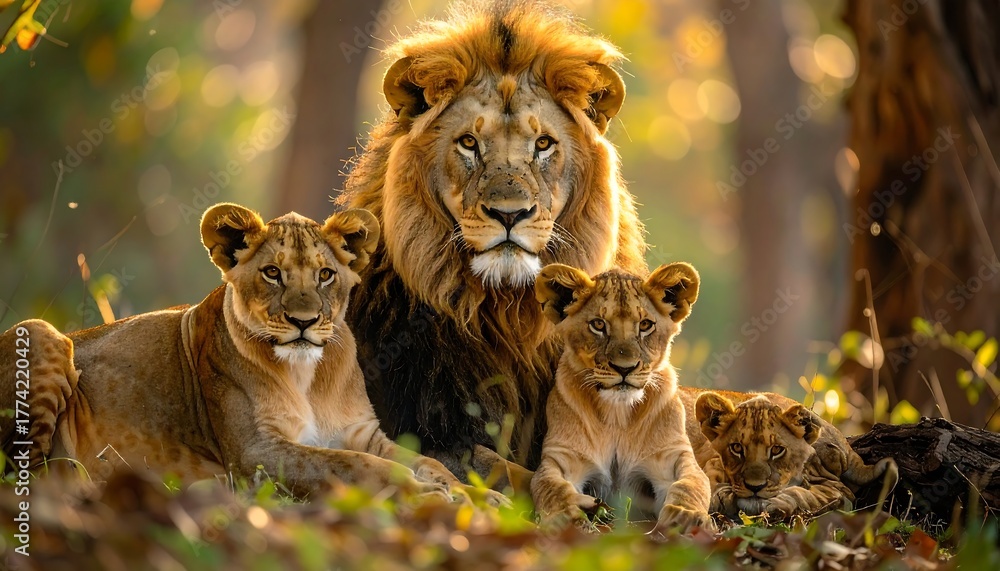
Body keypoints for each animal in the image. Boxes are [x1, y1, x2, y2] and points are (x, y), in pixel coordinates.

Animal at [0, 203, 505, 506]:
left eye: (325, 274)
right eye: (272, 273)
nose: (303, 321)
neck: (306, 373)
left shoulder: (363, 433)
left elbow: (429, 462)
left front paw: (482, 497)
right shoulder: (256, 451)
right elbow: (352, 465)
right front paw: (427, 495)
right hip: (39, 333)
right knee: (27, 473)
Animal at [338, 0, 646, 488]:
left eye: (543, 144)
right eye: (469, 143)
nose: (509, 214)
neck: (506, 314)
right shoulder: (419, 428)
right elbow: (499, 465)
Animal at [530, 263, 714, 536]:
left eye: (645, 325)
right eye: (598, 324)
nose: (624, 368)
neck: (618, 414)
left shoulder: (673, 457)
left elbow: (692, 484)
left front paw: (685, 516)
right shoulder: (562, 458)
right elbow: (549, 486)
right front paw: (566, 517)